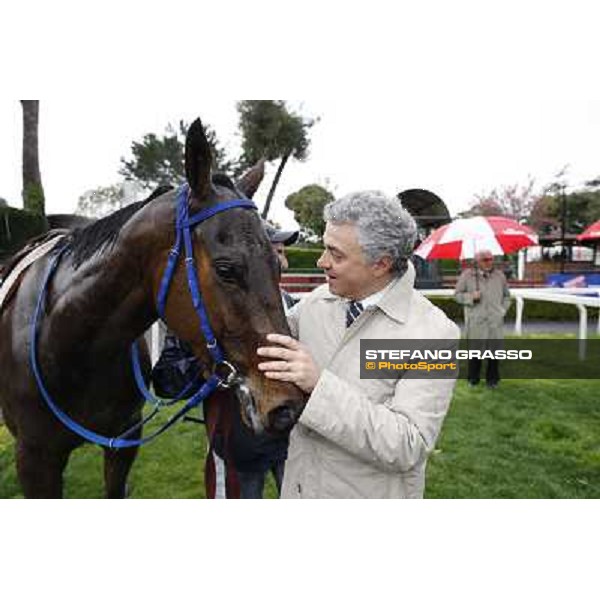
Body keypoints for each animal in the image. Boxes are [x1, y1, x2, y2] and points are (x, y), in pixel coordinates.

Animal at [0, 119, 304, 500]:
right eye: (225, 270)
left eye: (278, 267)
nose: (288, 407)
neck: (67, 340)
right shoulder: (35, 460)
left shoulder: (124, 441)